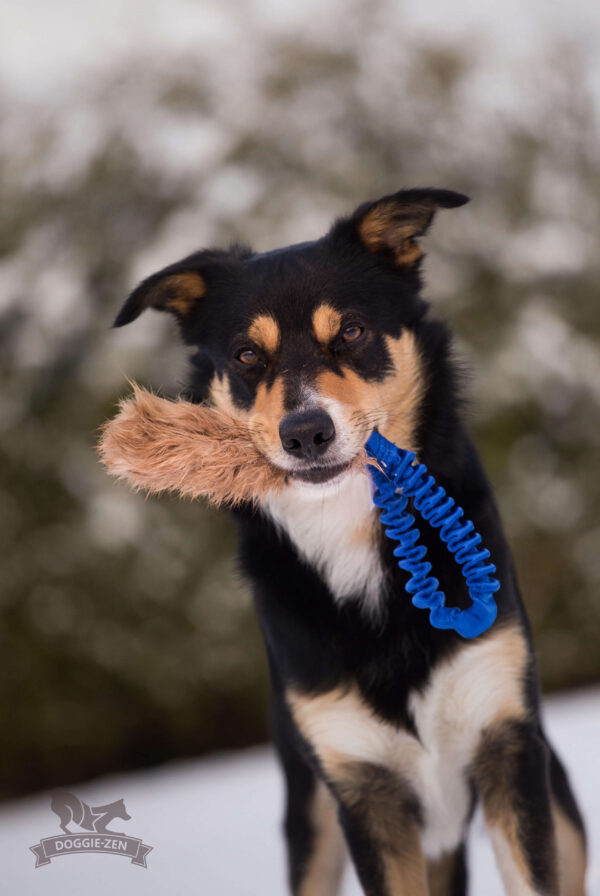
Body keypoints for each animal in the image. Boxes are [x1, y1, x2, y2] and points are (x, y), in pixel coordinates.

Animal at [112, 186, 584, 892]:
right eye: (247, 355)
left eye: (353, 331)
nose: (305, 432)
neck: (353, 530)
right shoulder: (362, 788)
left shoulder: (507, 745)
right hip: (310, 819)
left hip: (557, 804)